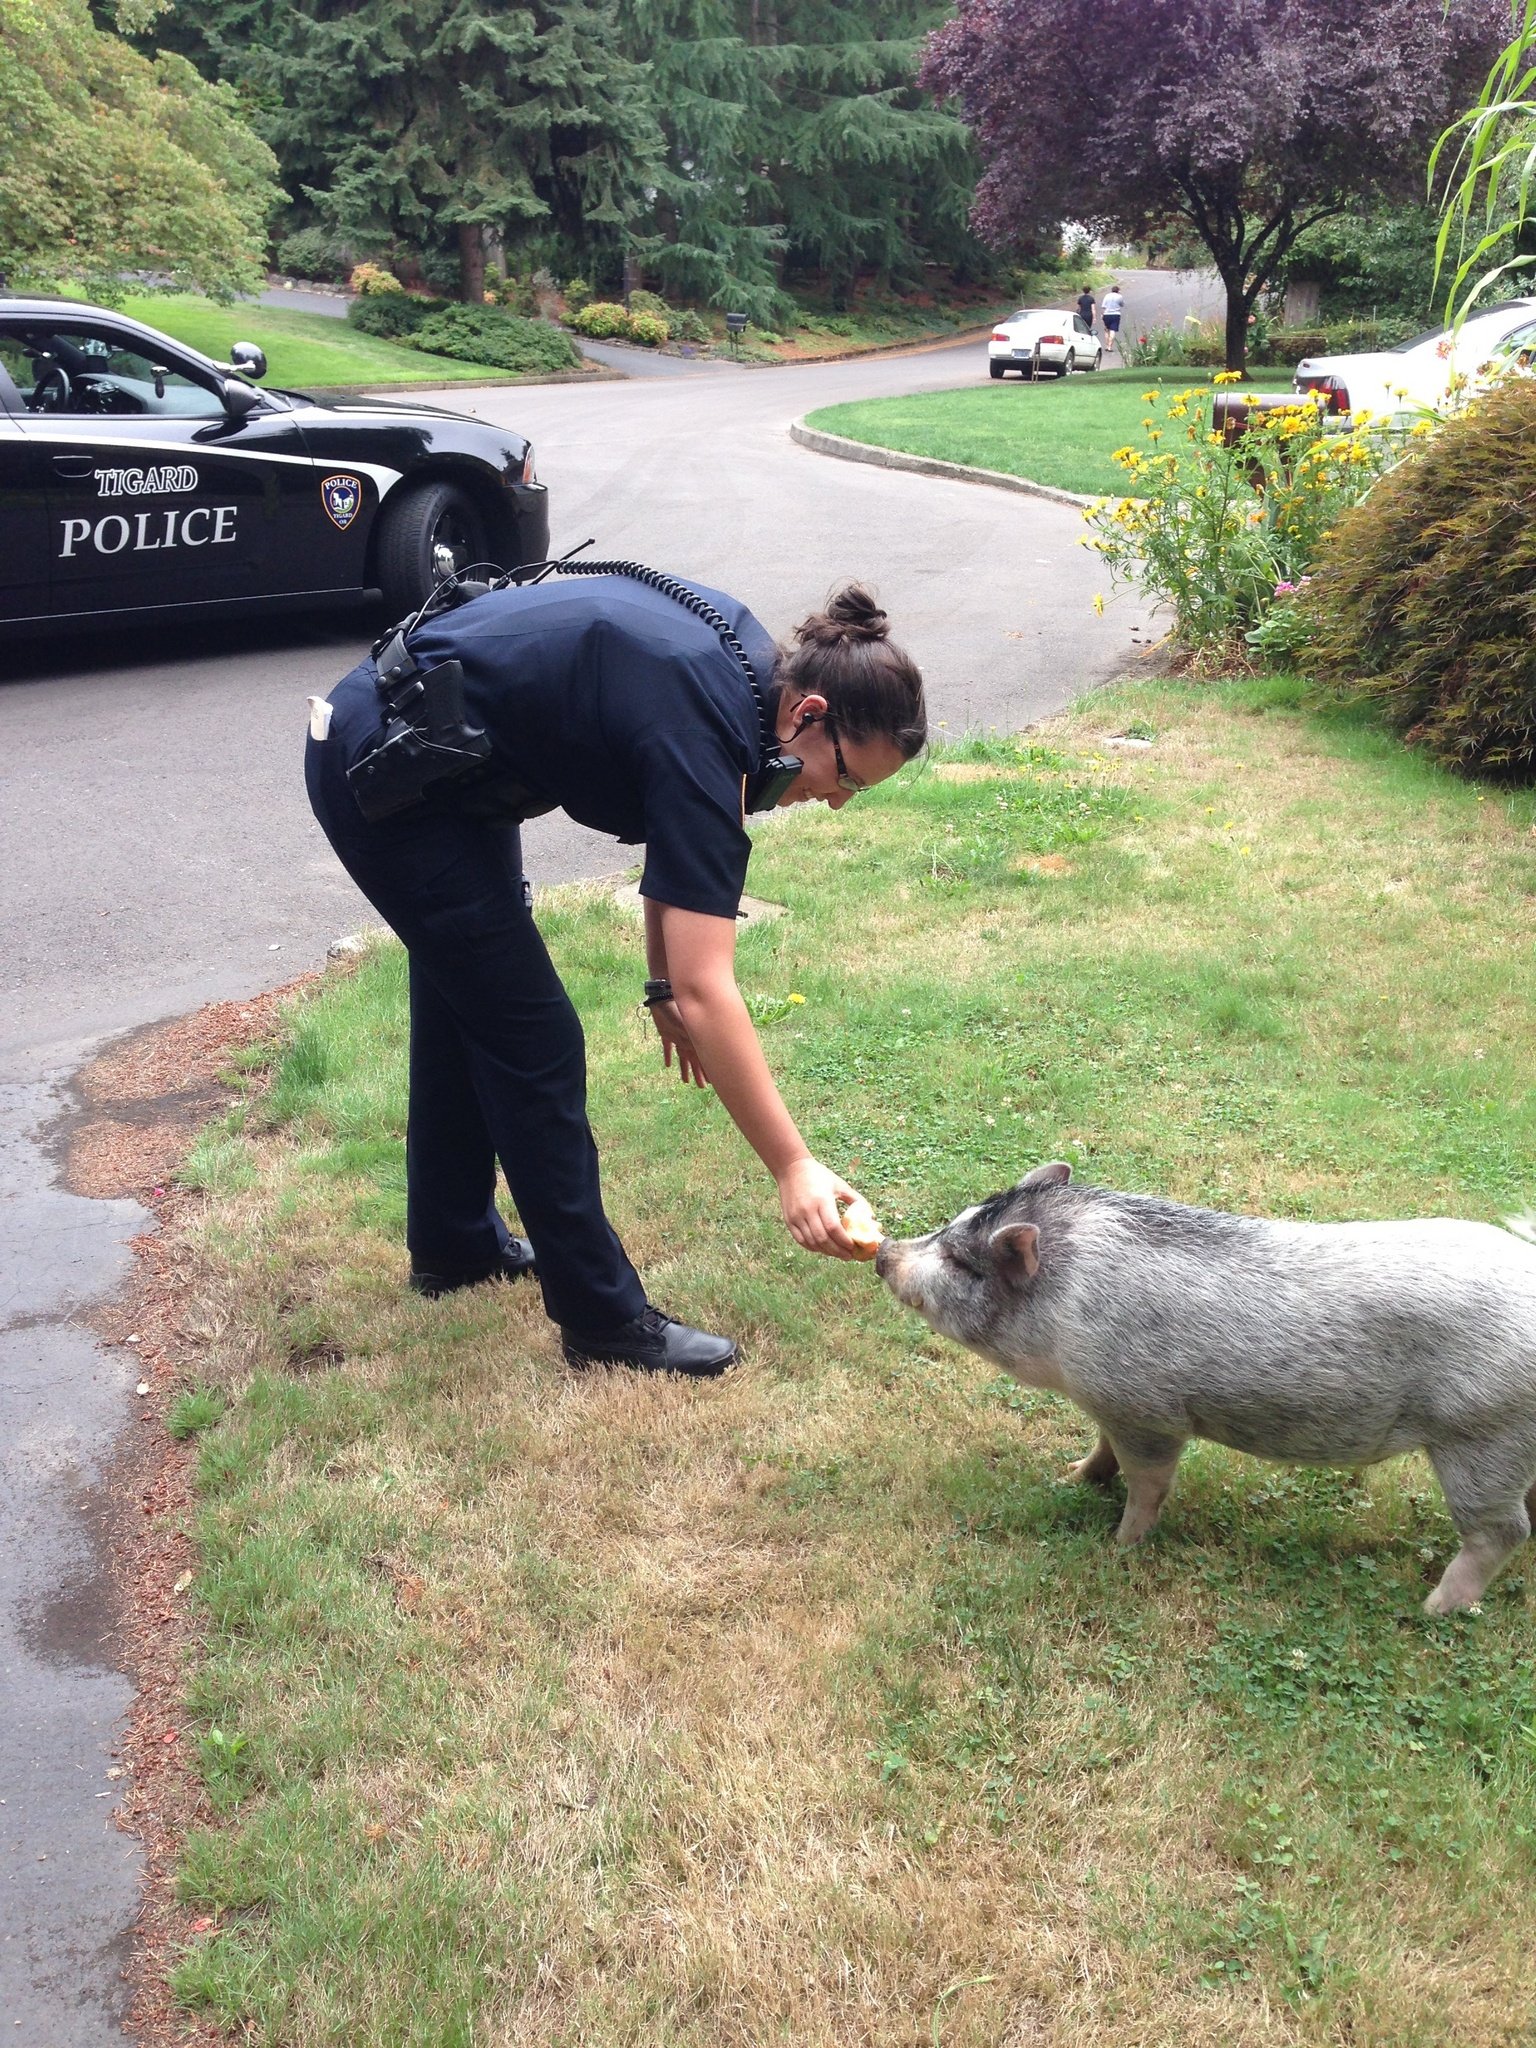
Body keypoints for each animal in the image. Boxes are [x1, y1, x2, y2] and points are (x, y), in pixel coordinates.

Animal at [876, 1171, 1536, 1613]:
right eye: (951, 1223)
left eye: (962, 1264)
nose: (884, 1251)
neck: (1064, 1313)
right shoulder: (1108, 1406)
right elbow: (1102, 1450)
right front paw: (1069, 1476)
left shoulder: (1148, 1412)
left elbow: (1148, 1483)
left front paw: (1119, 1549)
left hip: (1482, 1437)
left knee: (1502, 1531)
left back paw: (1431, 1610)